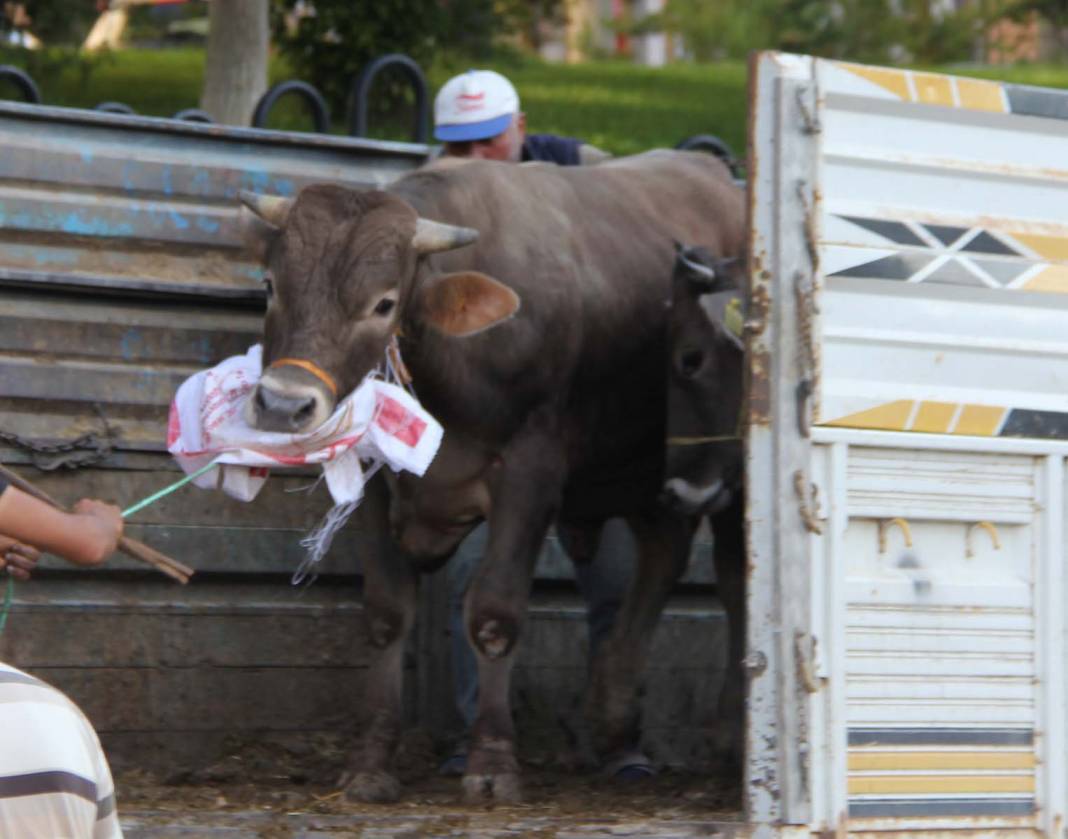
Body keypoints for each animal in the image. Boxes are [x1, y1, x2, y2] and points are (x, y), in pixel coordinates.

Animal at [239, 147, 747, 802]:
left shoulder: (530, 474)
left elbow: (494, 613)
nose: (283, 404)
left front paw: (492, 762)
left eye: (383, 303)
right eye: (271, 286)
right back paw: (615, 718)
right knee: (663, 553)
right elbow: (387, 613)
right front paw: (371, 761)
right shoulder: (376, 480)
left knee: (731, 580)